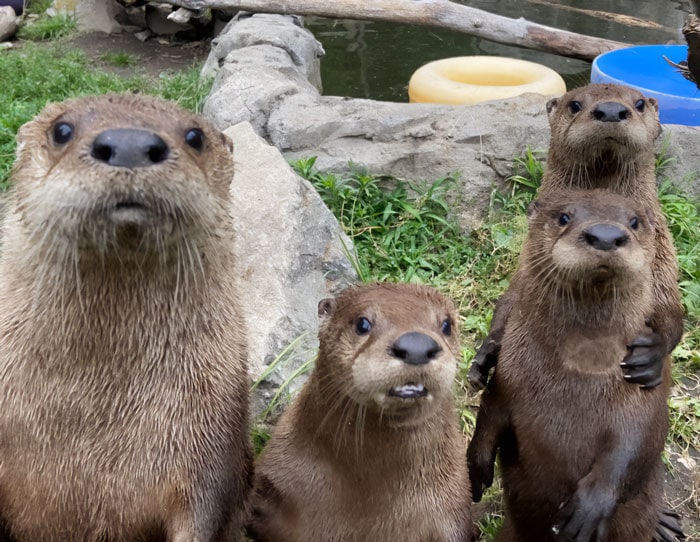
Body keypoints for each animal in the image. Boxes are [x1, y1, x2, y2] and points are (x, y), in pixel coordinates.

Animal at [467, 189, 673, 542]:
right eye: (563, 217)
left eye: (634, 222)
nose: (606, 235)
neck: (579, 369)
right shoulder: (507, 378)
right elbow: (489, 409)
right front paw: (477, 465)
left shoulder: (642, 395)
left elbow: (636, 442)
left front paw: (590, 507)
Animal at [469, 83, 683, 391]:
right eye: (575, 105)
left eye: (639, 103)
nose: (610, 110)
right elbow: (510, 302)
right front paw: (486, 354)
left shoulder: (662, 259)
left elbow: (671, 311)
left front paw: (651, 355)